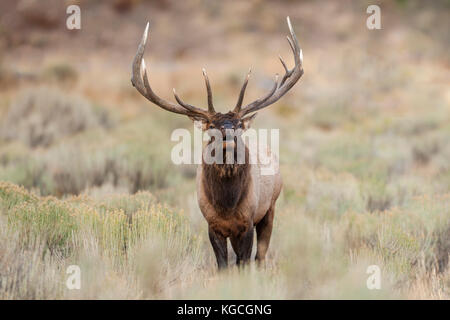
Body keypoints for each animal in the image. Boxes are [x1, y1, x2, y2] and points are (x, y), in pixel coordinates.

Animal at [132, 16, 304, 268]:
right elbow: (222, 265)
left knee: (261, 256)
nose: (230, 137)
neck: (227, 206)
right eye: (212, 126)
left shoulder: (247, 221)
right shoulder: (212, 225)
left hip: (270, 207)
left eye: (239, 125)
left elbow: (244, 262)